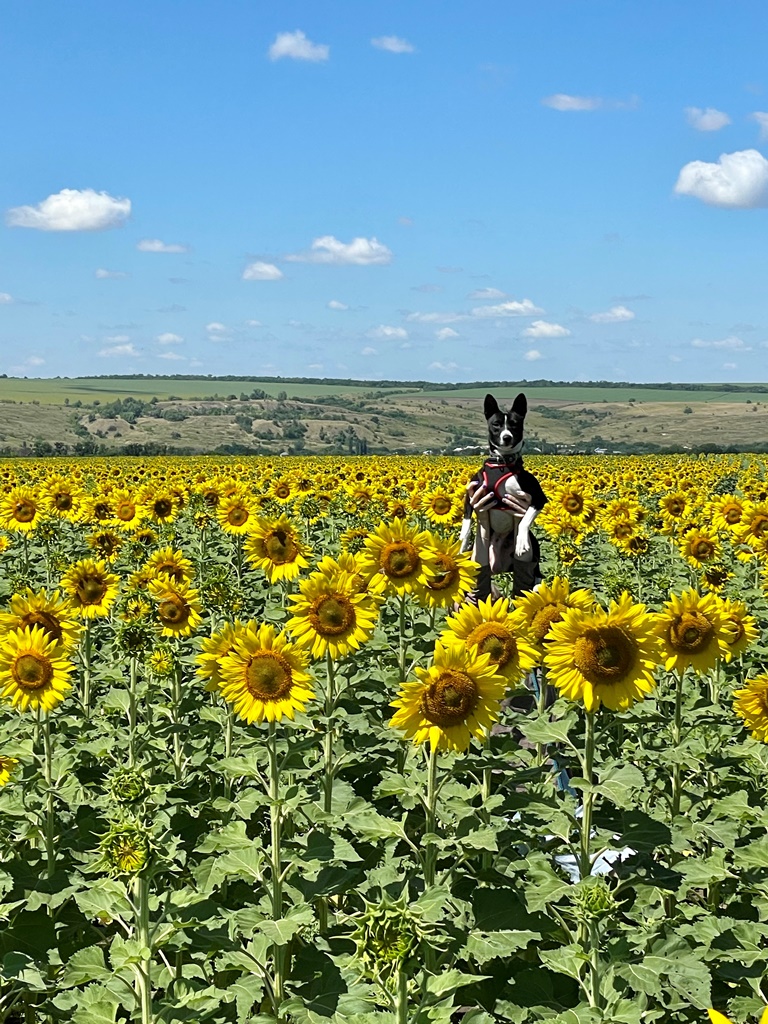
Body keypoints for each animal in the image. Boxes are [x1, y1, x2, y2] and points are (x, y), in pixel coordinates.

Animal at [460, 391, 548, 598]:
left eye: (514, 423)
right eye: (496, 424)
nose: (506, 437)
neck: (502, 462)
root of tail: (500, 567)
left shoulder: (538, 498)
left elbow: (524, 521)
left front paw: (521, 542)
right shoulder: (471, 496)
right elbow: (466, 524)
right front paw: (461, 544)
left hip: (535, 545)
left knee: (535, 570)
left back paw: (537, 584)